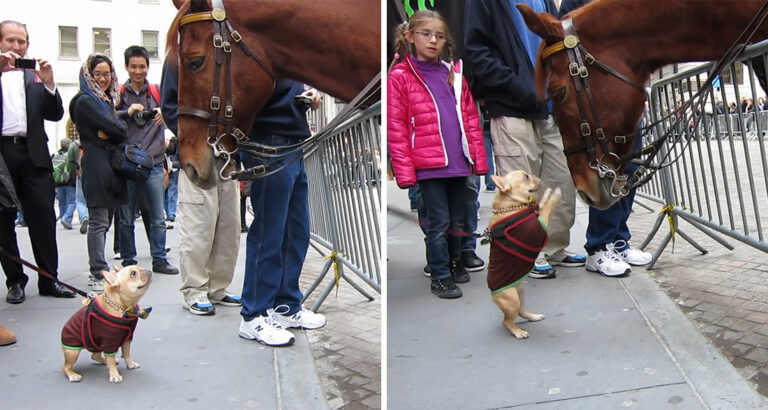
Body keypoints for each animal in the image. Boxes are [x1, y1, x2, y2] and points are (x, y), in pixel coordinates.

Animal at [488, 171, 560, 340]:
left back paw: (533, 316)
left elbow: (542, 206)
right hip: (511, 300)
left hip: (520, 293)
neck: (511, 205)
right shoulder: (538, 229)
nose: (534, 175)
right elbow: (546, 210)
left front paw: (547, 195)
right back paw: (518, 332)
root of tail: (491, 291)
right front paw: (554, 196)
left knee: (521, 311)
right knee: (507, 321)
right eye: (526, 177)